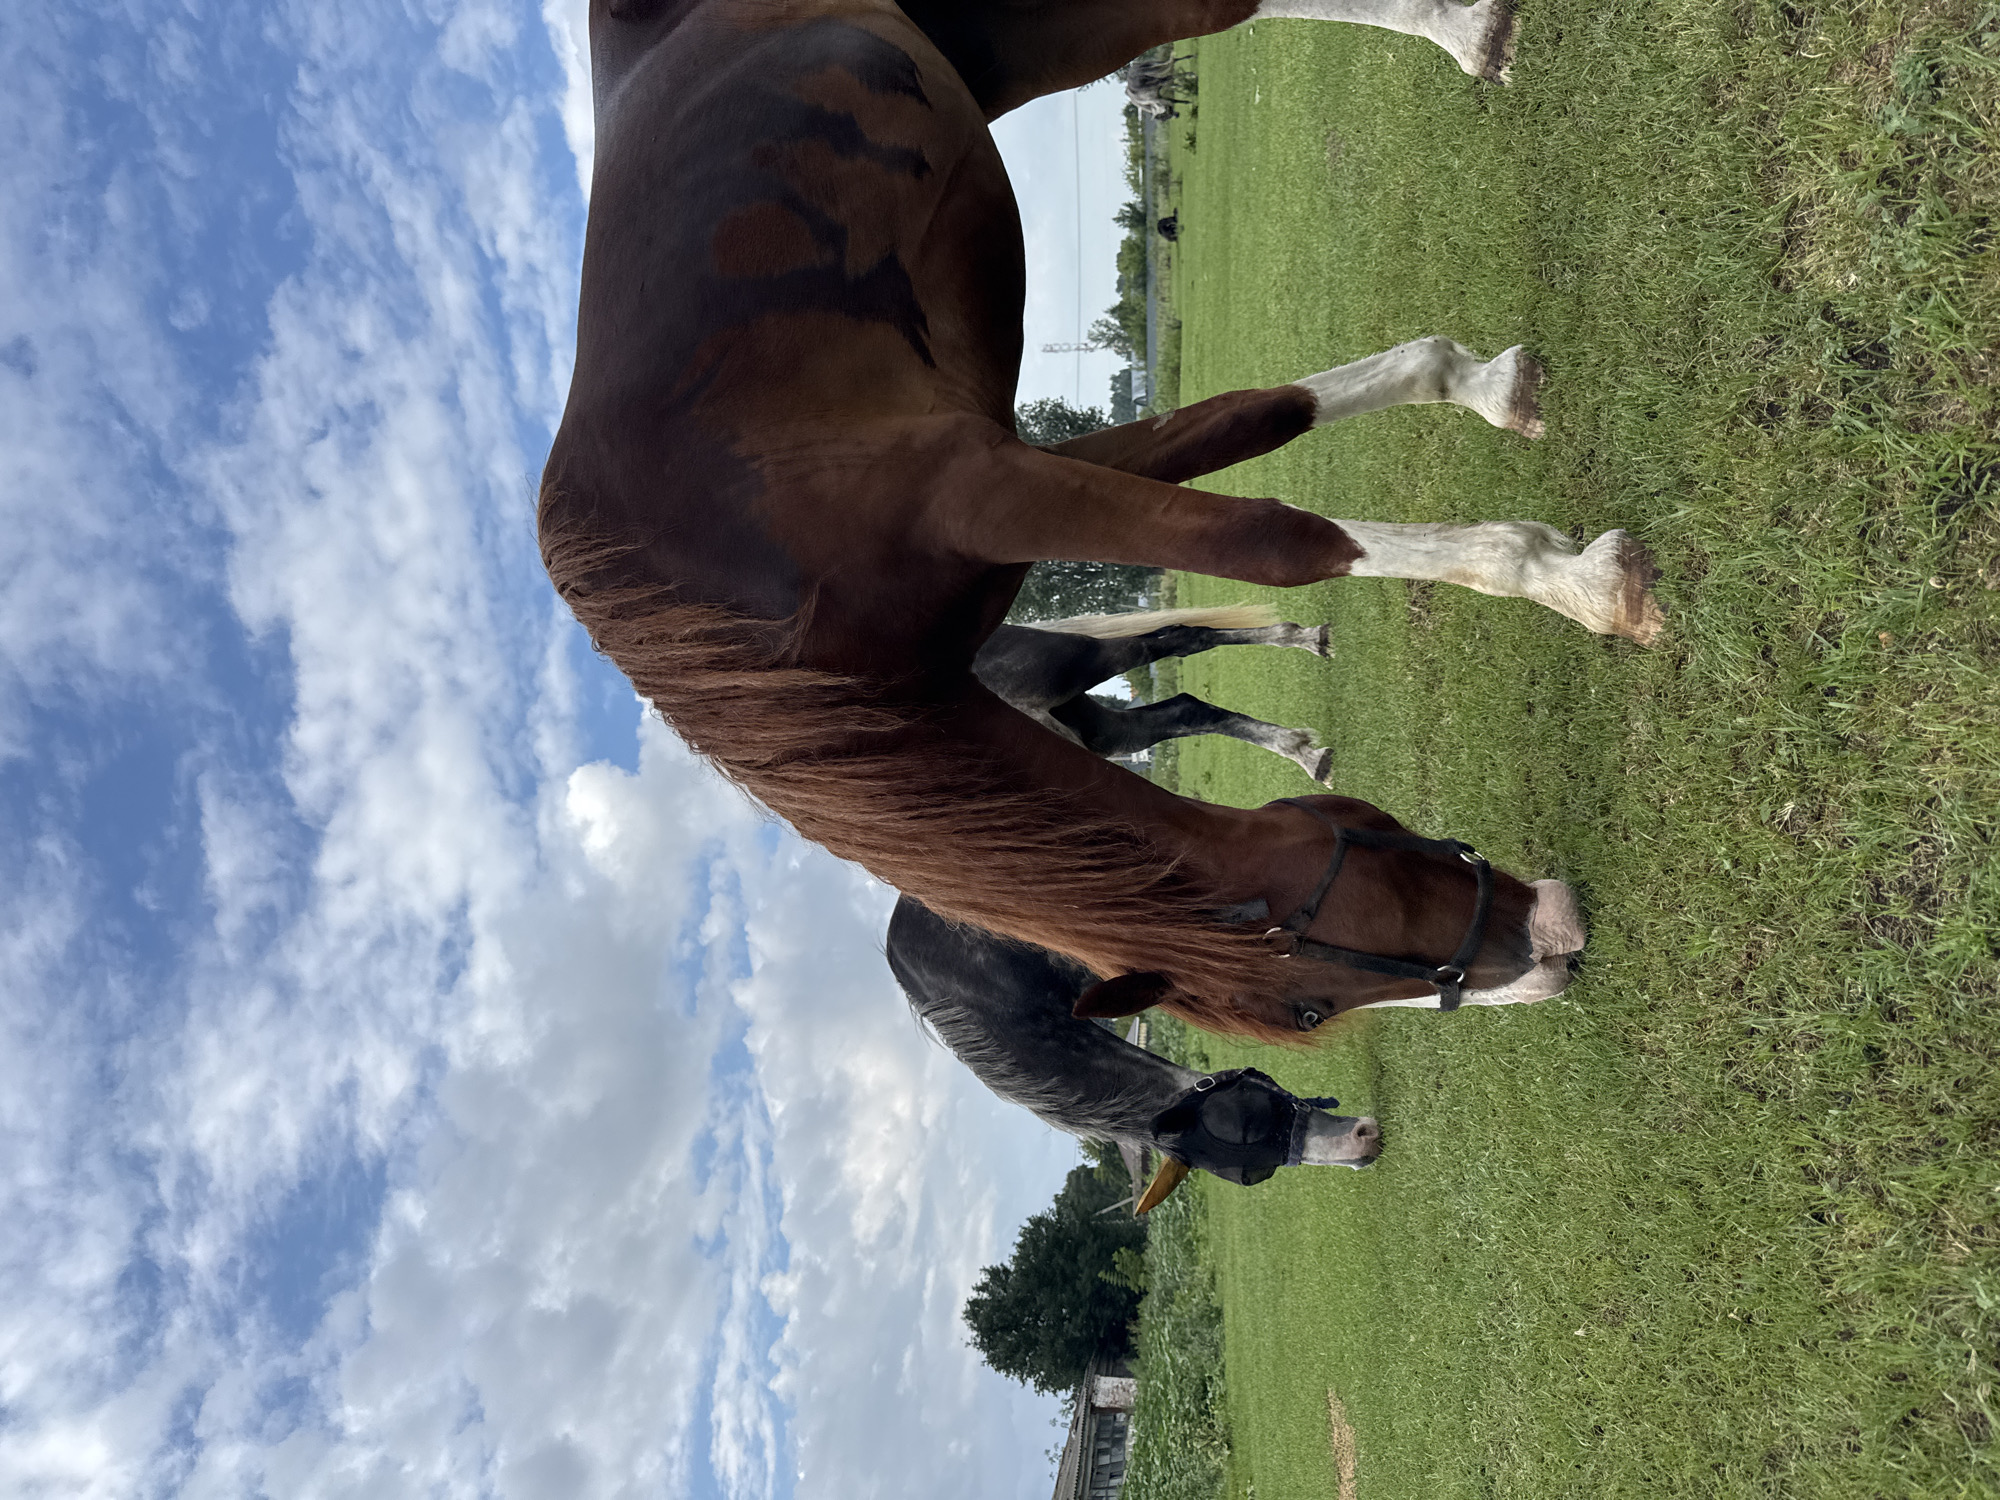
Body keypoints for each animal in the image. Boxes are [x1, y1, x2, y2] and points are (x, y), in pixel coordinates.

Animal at [541, 0, 1658, 1047]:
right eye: (1305, 1011)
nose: (1550, 949)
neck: (756, 626)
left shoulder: (982, 482)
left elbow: (1275, 543)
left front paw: (1576, 582)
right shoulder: (1029, 470)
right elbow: (1260, 417)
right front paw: (1479, 387)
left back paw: (1465, 31)